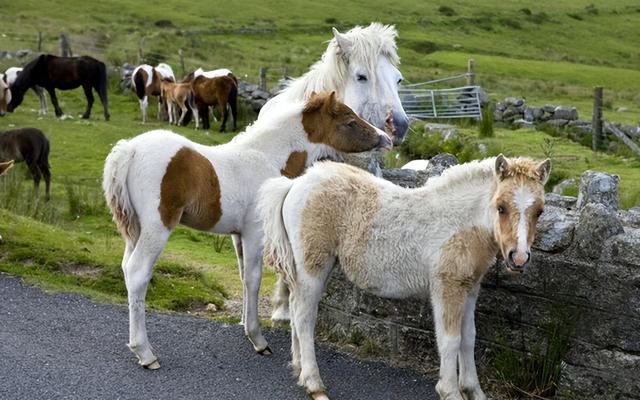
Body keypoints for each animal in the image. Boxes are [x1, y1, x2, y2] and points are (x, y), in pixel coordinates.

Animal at [102, 90, 392, 368]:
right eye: (350, 121)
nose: (386, 138)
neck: (267, 159)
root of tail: (129, 150)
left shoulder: (237, 236)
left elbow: (243, 276)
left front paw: (244, 325)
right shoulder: (255, 233)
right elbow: (254, 279)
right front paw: (258, 339)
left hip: (135, 230)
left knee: (127, 268)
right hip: (157, 227)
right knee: (138, 272)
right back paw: (145, 353)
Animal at [258, 155, 552, 400]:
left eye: (539, 211)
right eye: (501, 207)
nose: (518, 259)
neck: (461, 222)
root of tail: (295, 184)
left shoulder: (469, 287)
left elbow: (469, 337)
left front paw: (474, 391)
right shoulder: (446, 287)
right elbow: (450, 340)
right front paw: (450, 391)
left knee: (295, 309)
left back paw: (298, 368)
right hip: (313, 266)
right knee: (304, 317)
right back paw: (313, 383)